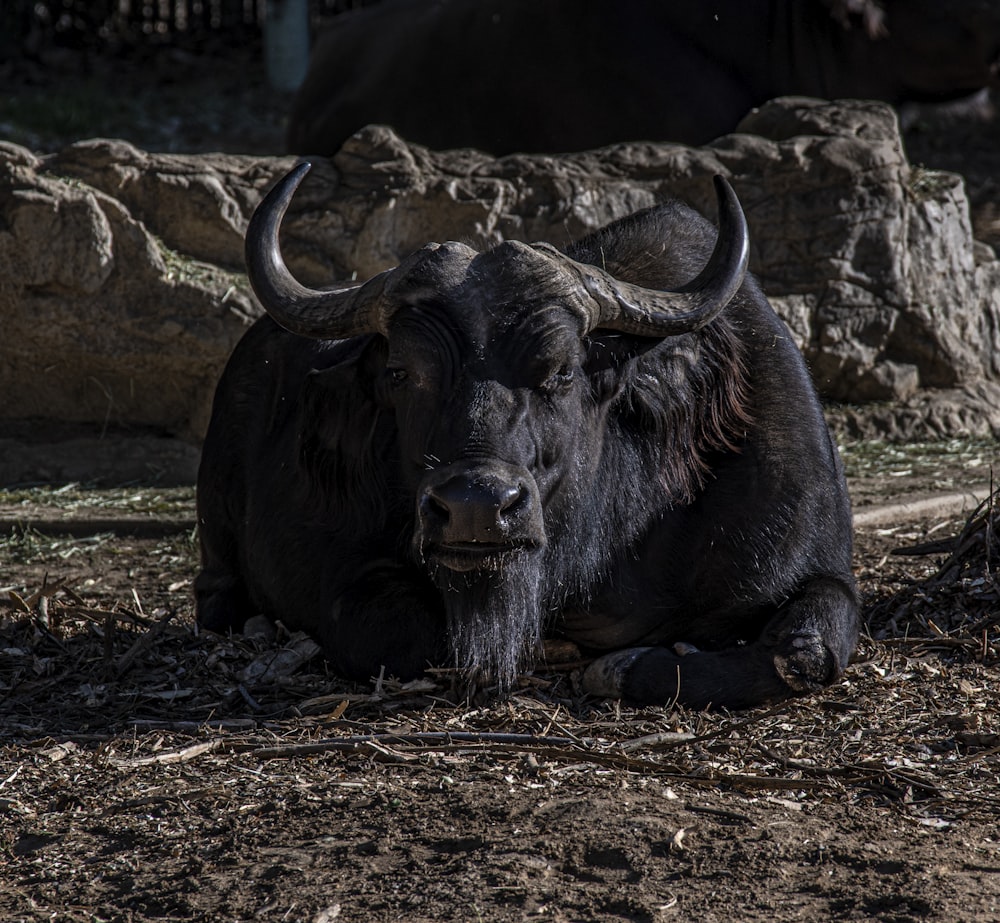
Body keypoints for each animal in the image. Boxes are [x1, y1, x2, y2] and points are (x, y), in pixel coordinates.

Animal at [197, 162, 860, 712]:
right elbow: (408, 633)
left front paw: (617, 668)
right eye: (401, 373)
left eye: (562, 369)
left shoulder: (818, 568)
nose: (475, 507)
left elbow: (806, 654)